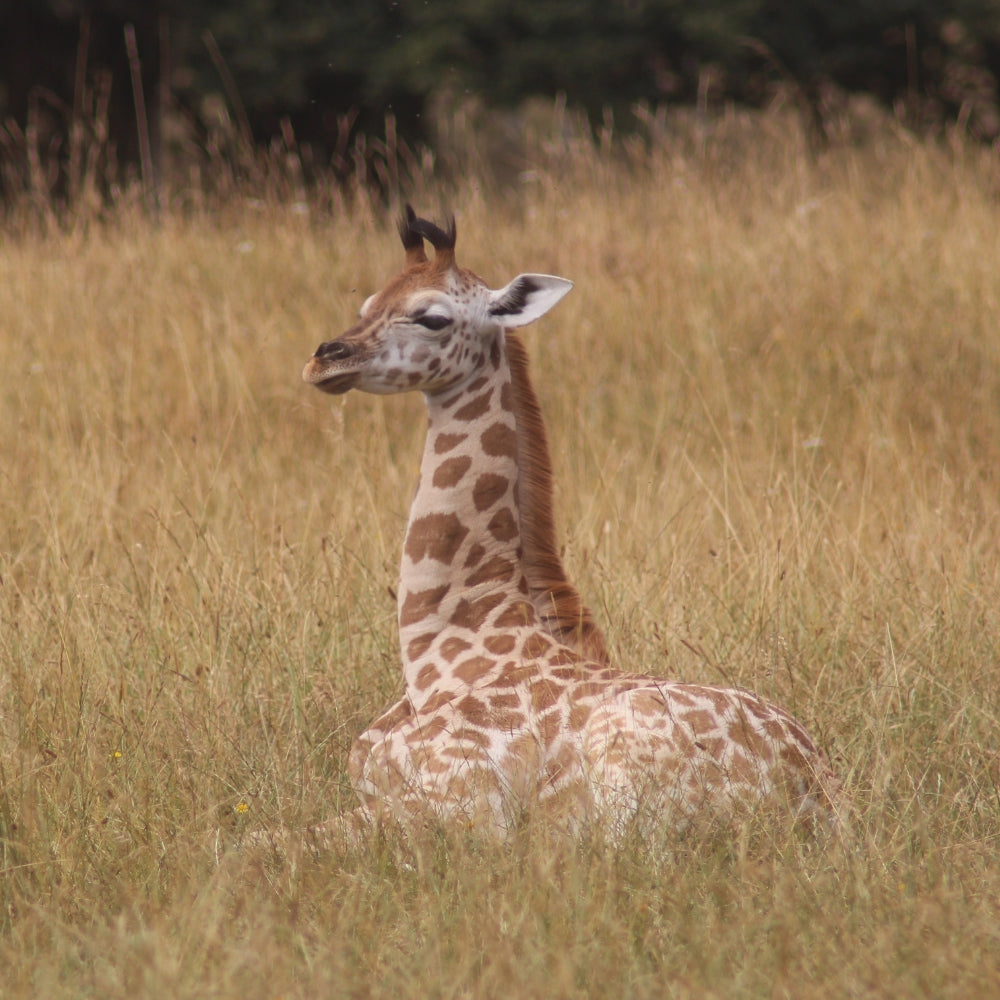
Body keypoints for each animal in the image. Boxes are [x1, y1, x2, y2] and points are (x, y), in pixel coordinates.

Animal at [299, 206, 846, 840]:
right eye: (367, 302)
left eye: (431, 316)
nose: (325, 358)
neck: (436, 653)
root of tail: (825, 794)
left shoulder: (465, 802)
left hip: (625, 787)